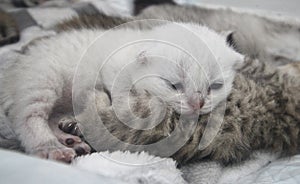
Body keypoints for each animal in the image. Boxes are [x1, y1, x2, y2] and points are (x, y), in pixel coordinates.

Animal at [0, 22, 243, 161]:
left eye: (215, 86)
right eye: (173, 85)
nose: (197, 104)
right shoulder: (113, 66)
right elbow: (119, 94)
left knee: (51, 116)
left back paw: (69, 137)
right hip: (44, 78)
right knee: (26, 117)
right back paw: (51, 147)